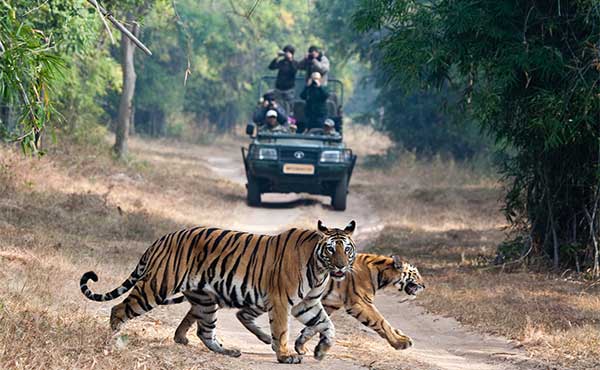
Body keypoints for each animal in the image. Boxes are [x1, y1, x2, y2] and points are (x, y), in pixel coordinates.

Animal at [82, 220, 358, 364]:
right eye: (331, 249)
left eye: (347, 250)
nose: (341, 266)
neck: (319, 268)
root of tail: (161, 239)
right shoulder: (281, 300)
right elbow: (281, 330)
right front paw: (285, 355)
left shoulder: (307, 303)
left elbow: (327, 324)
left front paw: (321, 350)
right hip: (157, 286)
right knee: (119, 308)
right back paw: (114, 339)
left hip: (205, 300)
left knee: (205, 332)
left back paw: (229, 351)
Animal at [175, 254, 426, 352]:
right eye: (415, 274)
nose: (424, 286)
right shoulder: (360, 303)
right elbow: (382, 323)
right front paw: (400, 342)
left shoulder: (329, 304)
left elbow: (313, 327)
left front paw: (300, 345)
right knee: (233, 314)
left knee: (206, 312)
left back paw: (180, 337)